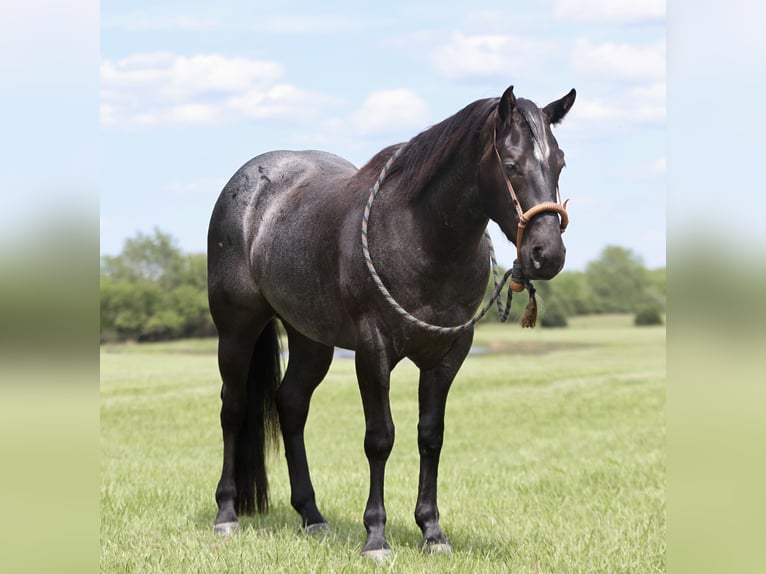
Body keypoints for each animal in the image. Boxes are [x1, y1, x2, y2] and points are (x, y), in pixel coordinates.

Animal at [207, 83, 580, 560]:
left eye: (560, 162)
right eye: (511, 164)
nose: (547, 254)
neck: (421, 236)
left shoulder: (448, 354)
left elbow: (431, 436)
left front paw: (432, 532)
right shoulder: (373, 350)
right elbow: (379, 438)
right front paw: (376, 537)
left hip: (311, 339)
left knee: (291, 404)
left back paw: (312, 515)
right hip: (237, 328)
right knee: (233, 408)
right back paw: (227, 514)